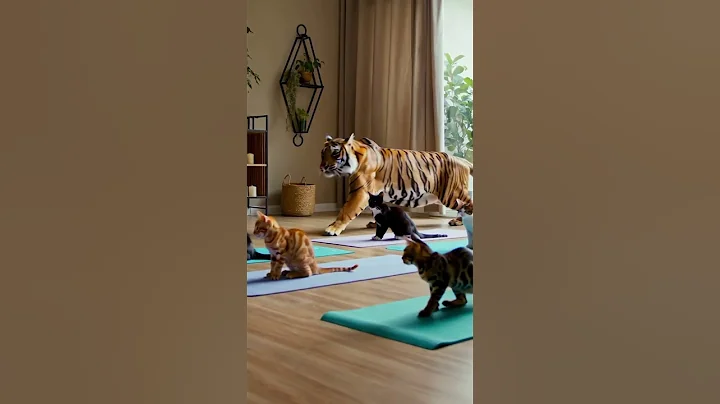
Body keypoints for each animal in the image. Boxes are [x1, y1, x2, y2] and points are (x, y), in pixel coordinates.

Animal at [319, 133, 473, 236]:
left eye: (335, 153)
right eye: (322, 154)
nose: (322, 167)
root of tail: (461, 159)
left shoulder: (360, 191)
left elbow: (346, 211)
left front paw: (332, 228)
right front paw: (375, 223)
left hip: (452, 194)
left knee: (469, 204)